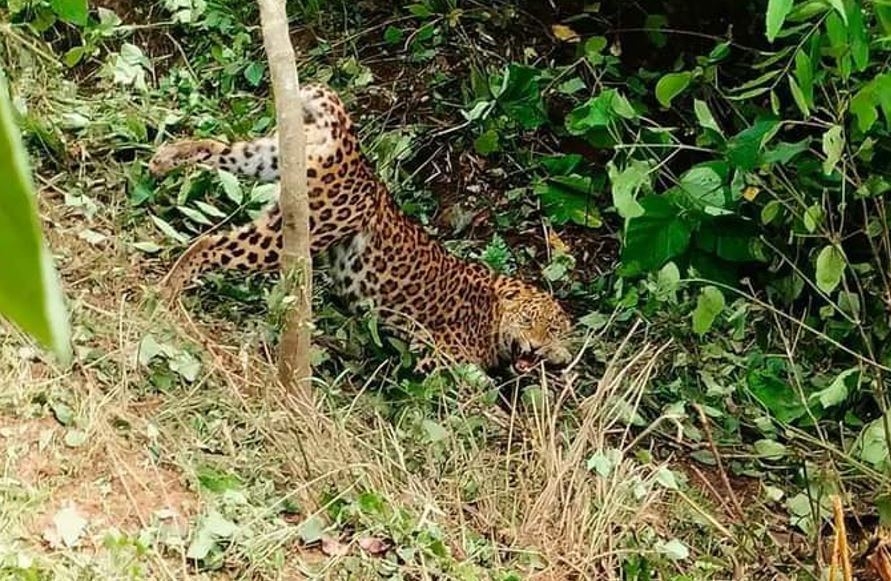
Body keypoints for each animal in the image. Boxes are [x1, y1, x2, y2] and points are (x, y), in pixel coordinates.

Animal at [150, 83, 576, 370]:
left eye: (553, 331)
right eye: (529, 322)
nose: (535, 348)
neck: (493, 308)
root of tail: (355, 152)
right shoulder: (434, 354)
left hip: (270, 156)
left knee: (219, 147)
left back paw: (165, 158)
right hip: (297, 228)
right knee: (210, 242)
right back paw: (167, 290)